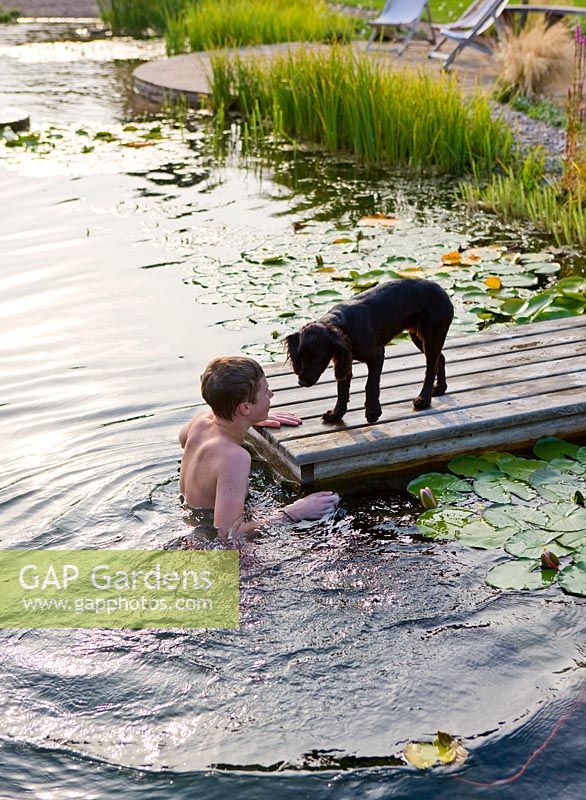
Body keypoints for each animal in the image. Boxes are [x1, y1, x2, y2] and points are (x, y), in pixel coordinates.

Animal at [286, 278, 454, 422]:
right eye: (300, 357)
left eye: (316, 359)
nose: (301, 382)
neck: (344, 325)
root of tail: (443, 291)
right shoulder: (343, 360)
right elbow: (342, 389)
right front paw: (336, 414)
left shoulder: (377, 355)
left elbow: (370, 384)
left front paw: (373, 411)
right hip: (419, 337)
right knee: (440, 358)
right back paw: (440, 388)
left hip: (430, 335)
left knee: (430, 368)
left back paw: (423, 399)